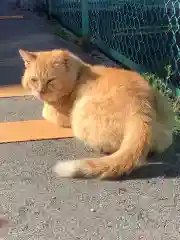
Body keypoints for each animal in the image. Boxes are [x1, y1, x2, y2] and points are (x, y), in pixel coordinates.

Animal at [19, 48, 175, 179]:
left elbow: (45, 111)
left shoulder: (55, 114)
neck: (79, 73)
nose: (40, 92)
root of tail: (141, 110)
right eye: (34, 80)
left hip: (81, 115)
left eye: (51, 80)